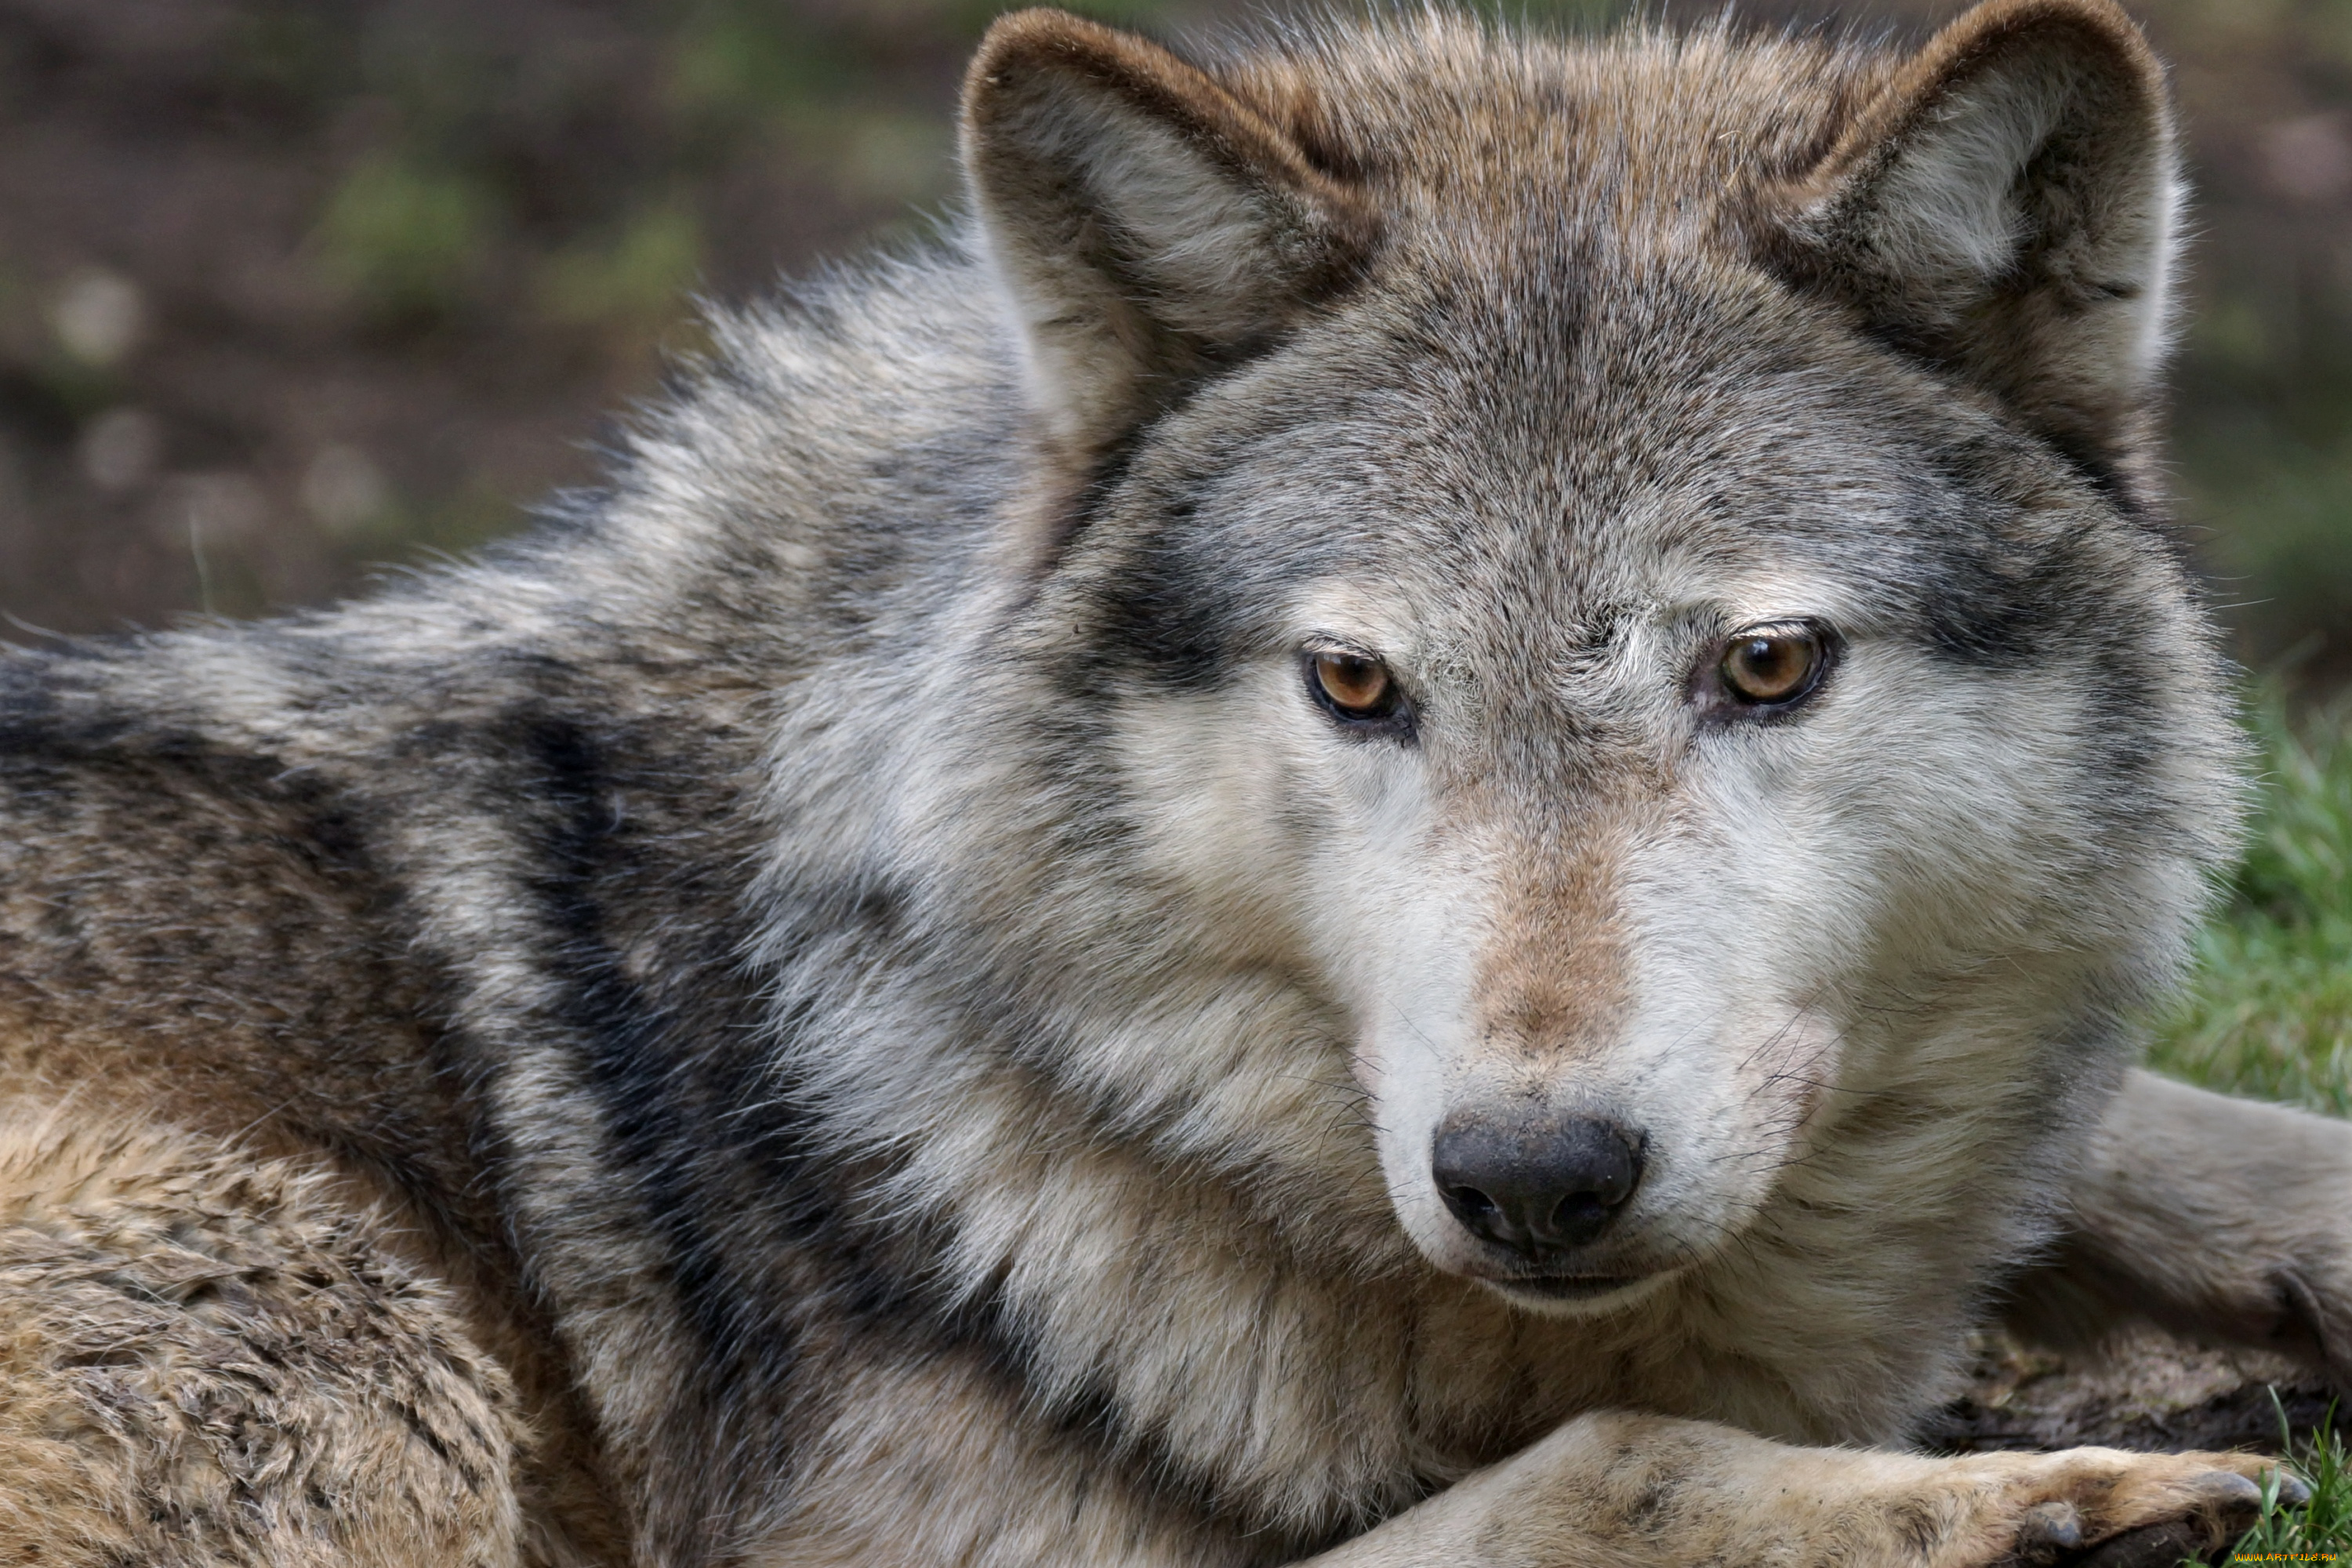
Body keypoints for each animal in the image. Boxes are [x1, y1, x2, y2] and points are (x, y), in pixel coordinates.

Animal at [4, 0, 2352, 1561]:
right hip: (329, 1294)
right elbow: (1612, 1454)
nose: (1533, 1174)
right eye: (1356, 681)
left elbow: (2201, 1126)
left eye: (1764, 667)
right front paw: (2042, 1490)